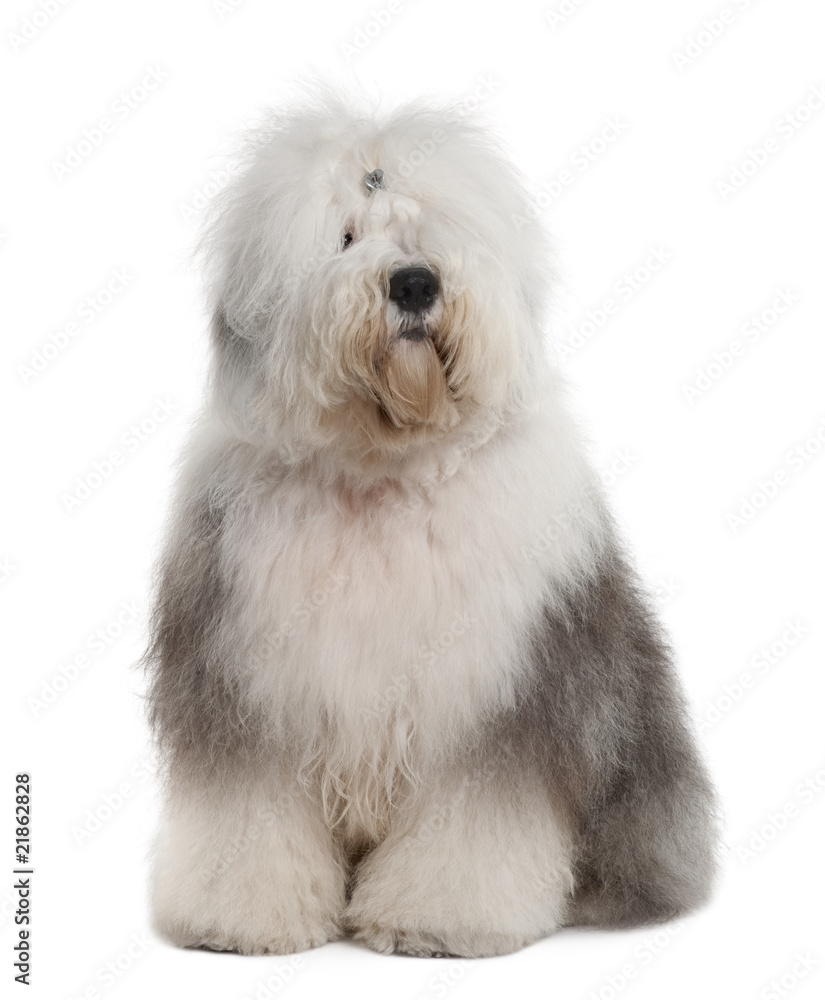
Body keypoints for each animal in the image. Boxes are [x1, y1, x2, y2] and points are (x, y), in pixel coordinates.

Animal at [145, 95, 716, 960]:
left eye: (433, 231)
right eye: (346, 236)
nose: (414, 282)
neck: (384, 472)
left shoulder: (489, 702)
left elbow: (471, 824)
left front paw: (437, 921)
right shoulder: (250, 693)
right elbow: (247, 813)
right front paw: (240, 919)